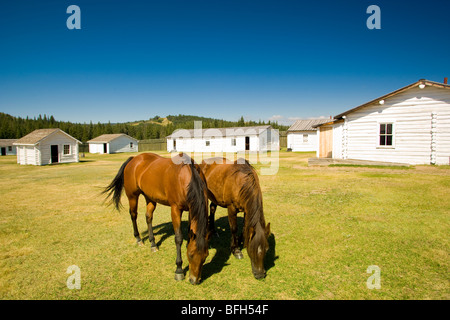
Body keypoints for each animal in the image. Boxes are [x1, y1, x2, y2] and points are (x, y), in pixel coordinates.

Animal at [104, 152, 210, 284]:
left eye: (205, 256)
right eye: (190, 255)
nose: (194, 280)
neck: (186, 177)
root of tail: (134, 159)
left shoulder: (191, 209)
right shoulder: (175, 209)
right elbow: (178, 238)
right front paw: (179, 270)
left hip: (150, 197)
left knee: (148, 217)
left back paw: (153, 244)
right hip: (132, 196)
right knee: (133, 215)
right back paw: (138, 239)